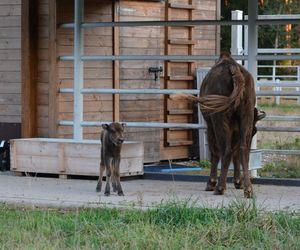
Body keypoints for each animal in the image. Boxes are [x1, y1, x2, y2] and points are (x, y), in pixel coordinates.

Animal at [171, 53, 264, 199]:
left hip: (219, 120)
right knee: (242, 150)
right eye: (255, 131)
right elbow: (236, 153)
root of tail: (234, 69)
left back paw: (219, 187)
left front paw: (211, 183)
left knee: (225, 150)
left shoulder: (210, 126)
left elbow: (215, 152)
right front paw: (238, 182)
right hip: (245, 116)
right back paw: (248, 190)